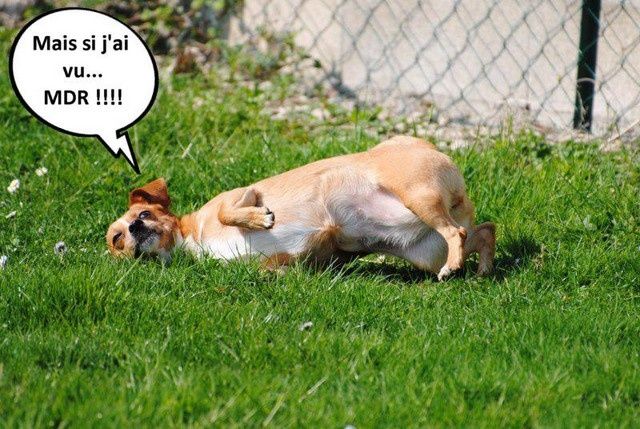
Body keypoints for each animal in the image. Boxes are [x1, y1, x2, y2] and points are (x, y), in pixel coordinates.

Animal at [106, 136, 495, 280]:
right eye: (116, 239)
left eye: (144, 214)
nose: (135, 229)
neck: (192, 240)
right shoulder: (277, 262)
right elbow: (274, 270)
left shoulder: (244, 193)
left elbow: (226, 212)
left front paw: (259, 219)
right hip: (424, 249)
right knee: (482, 231)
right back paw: (482, 269)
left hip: (418, 197)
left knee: (458, 232)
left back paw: (457, 265)